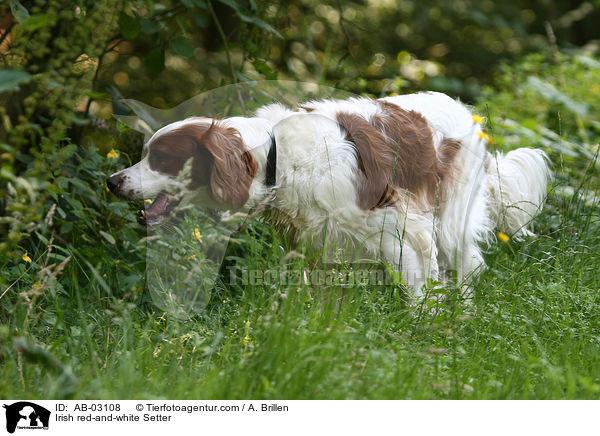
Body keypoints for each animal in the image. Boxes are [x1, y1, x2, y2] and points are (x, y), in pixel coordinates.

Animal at [106, 92, 548, 296]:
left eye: (161, 158)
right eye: (145, 153)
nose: (112, 181)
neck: (276, 157)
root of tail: (465, 110)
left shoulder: (405, 228)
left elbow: (418, 290)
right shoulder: (318, 241)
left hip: (452, 221)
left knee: (466, 267)